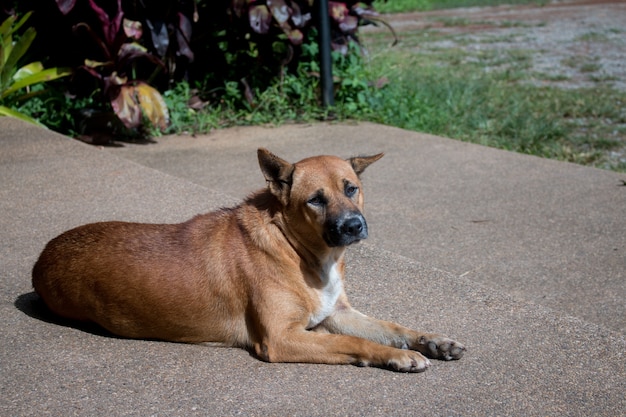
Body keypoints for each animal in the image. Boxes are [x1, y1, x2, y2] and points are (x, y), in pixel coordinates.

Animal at [33, 149, 464, 370]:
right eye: (315, 200)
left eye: (351, 188)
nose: (354, 226)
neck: (297, 250)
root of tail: (42, 256)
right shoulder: (281, 338)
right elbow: (357, 343)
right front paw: (397, 356)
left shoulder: (337, 313)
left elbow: (392, 326)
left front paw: (432, 341)